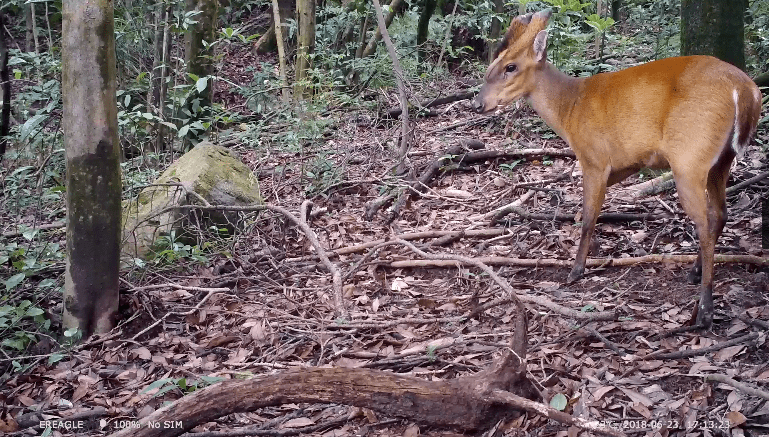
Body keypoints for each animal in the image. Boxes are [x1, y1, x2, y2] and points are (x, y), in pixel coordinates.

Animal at [474, 9, 760, 328]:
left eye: (510, 67)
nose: (478, 103)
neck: (569, 109)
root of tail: (745, 89)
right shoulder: (623, 164)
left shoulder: (594, 158)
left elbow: (588, 218)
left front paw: (576, 270)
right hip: (721, 160)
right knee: (719, 213)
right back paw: (695, 273)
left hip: (690, 158)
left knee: (705, 222)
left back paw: (705, 309)